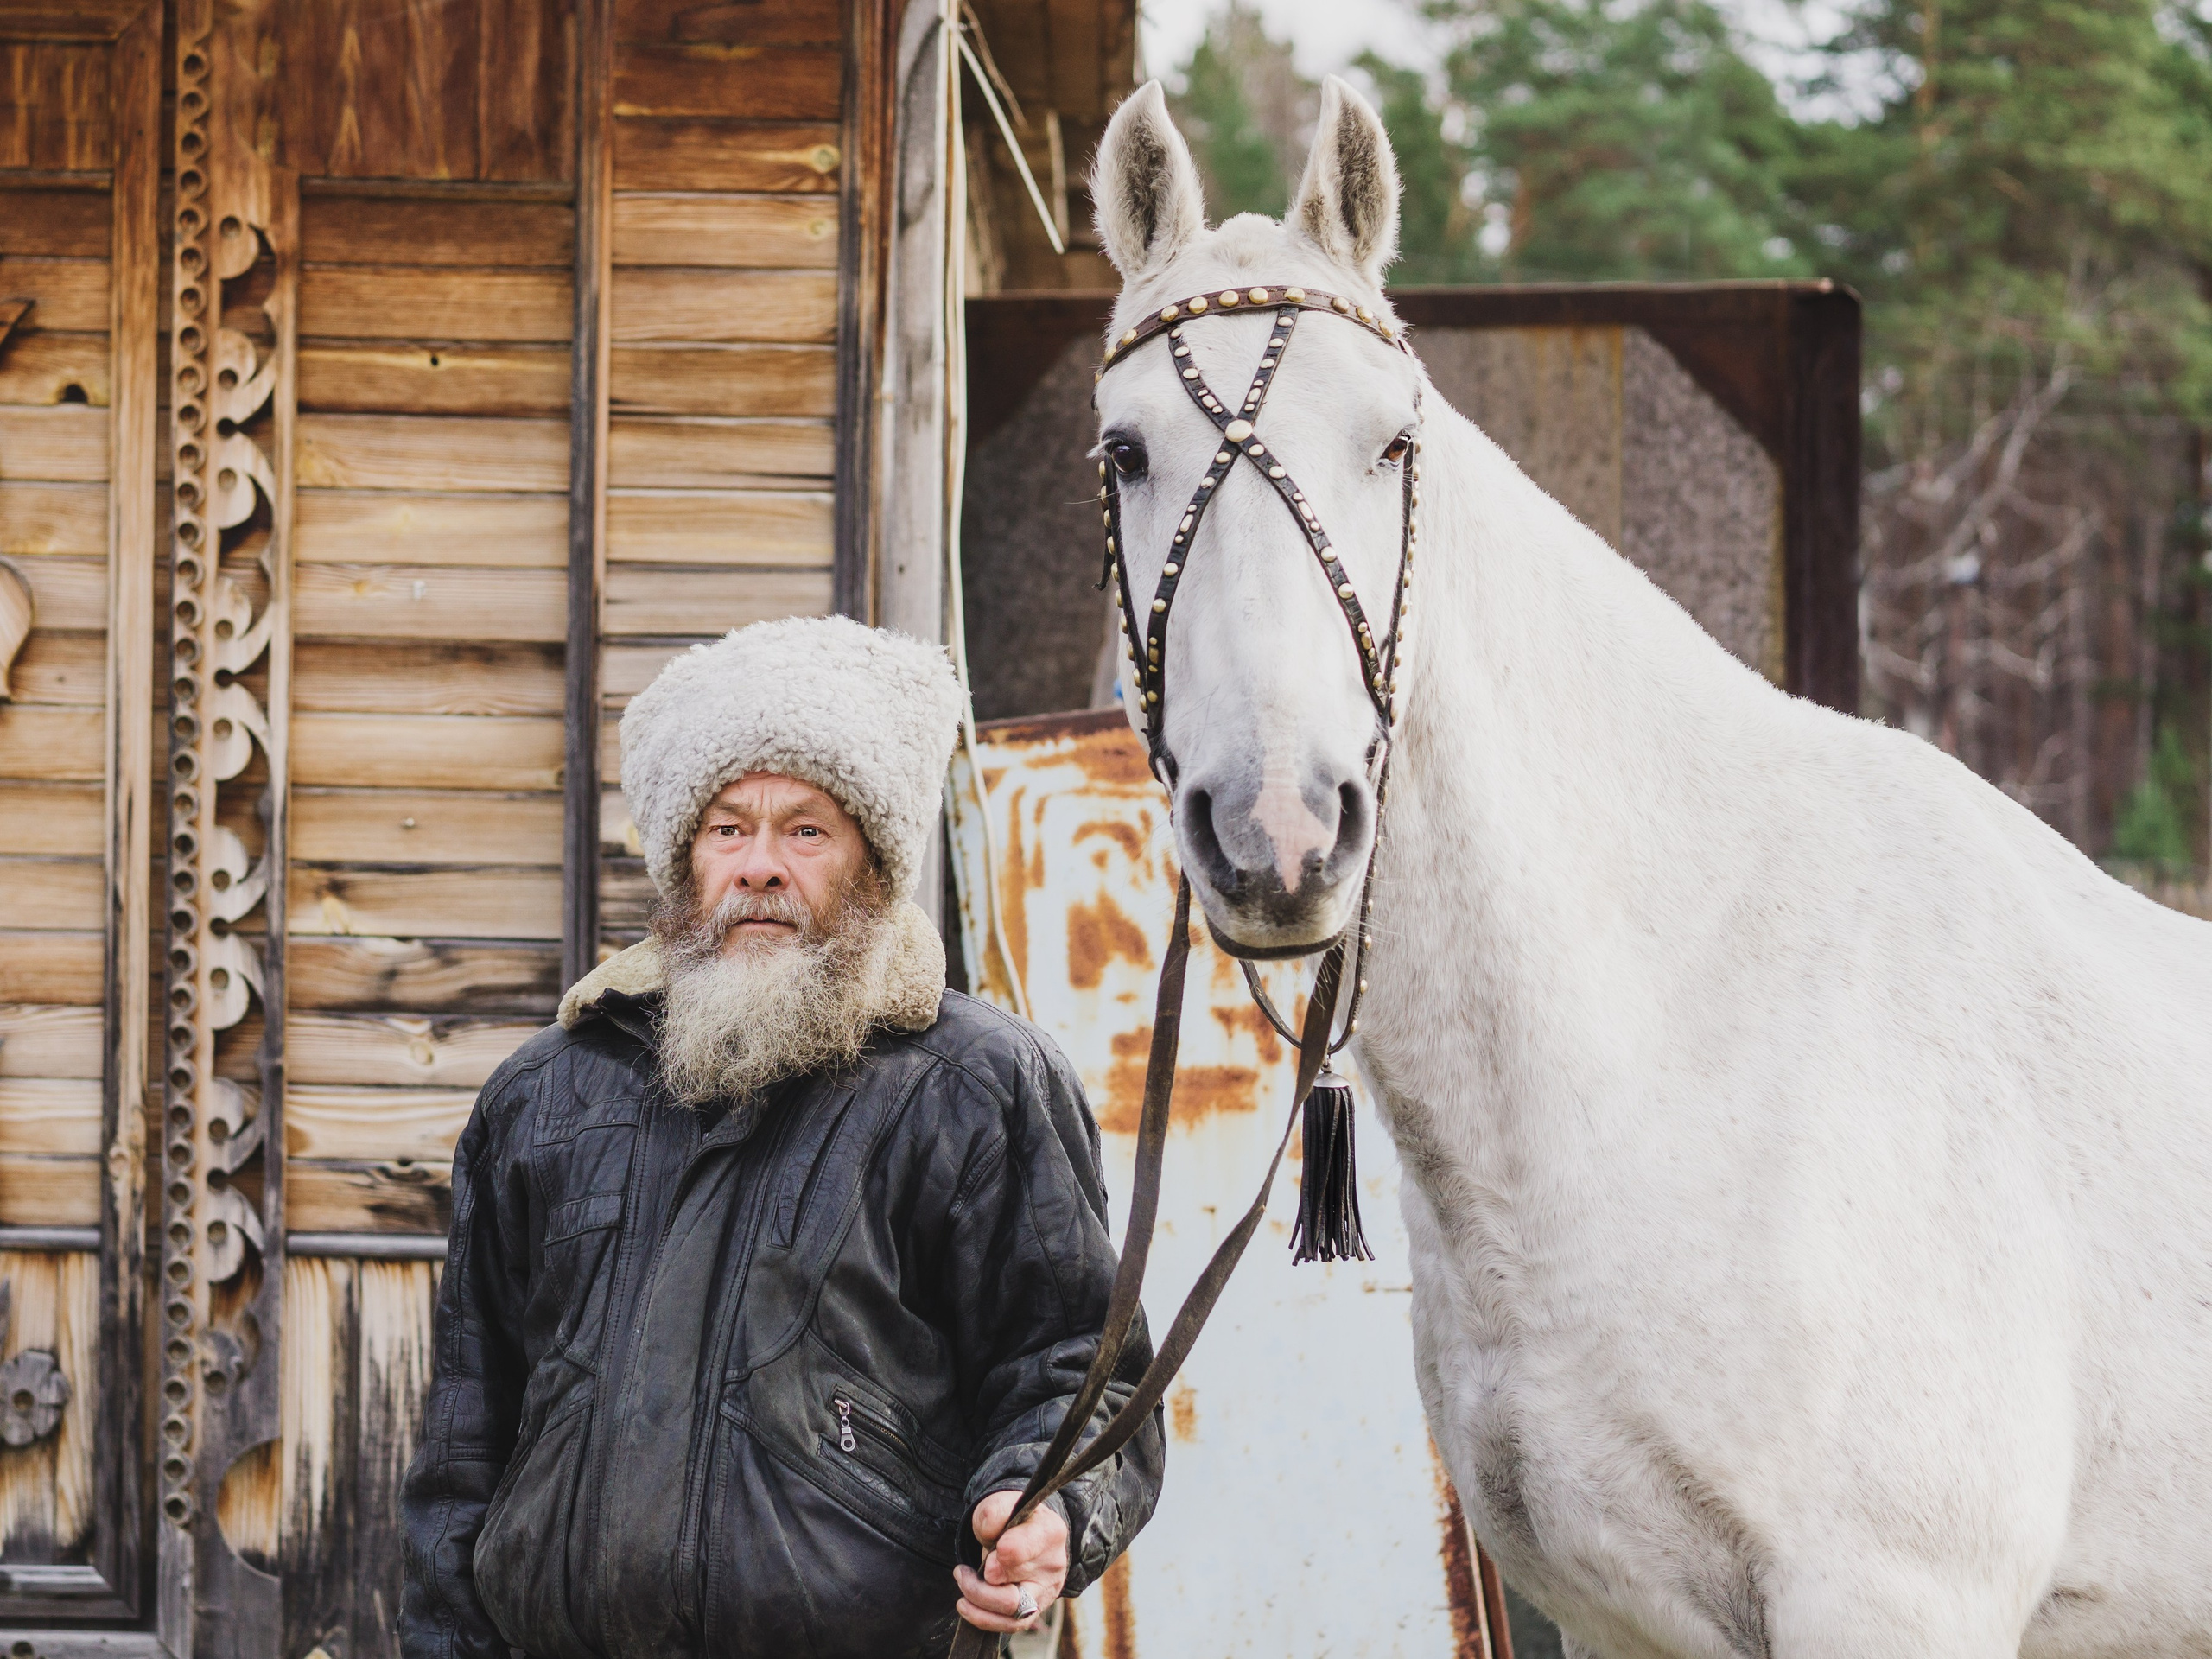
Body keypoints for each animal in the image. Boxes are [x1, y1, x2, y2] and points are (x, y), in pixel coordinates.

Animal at [1085, 75, 2212, 1659]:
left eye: (1393, 444)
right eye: (1125, 455)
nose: (1281, 834)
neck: (1682, 1048)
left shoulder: (1892, 1600)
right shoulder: (1616, 1619)